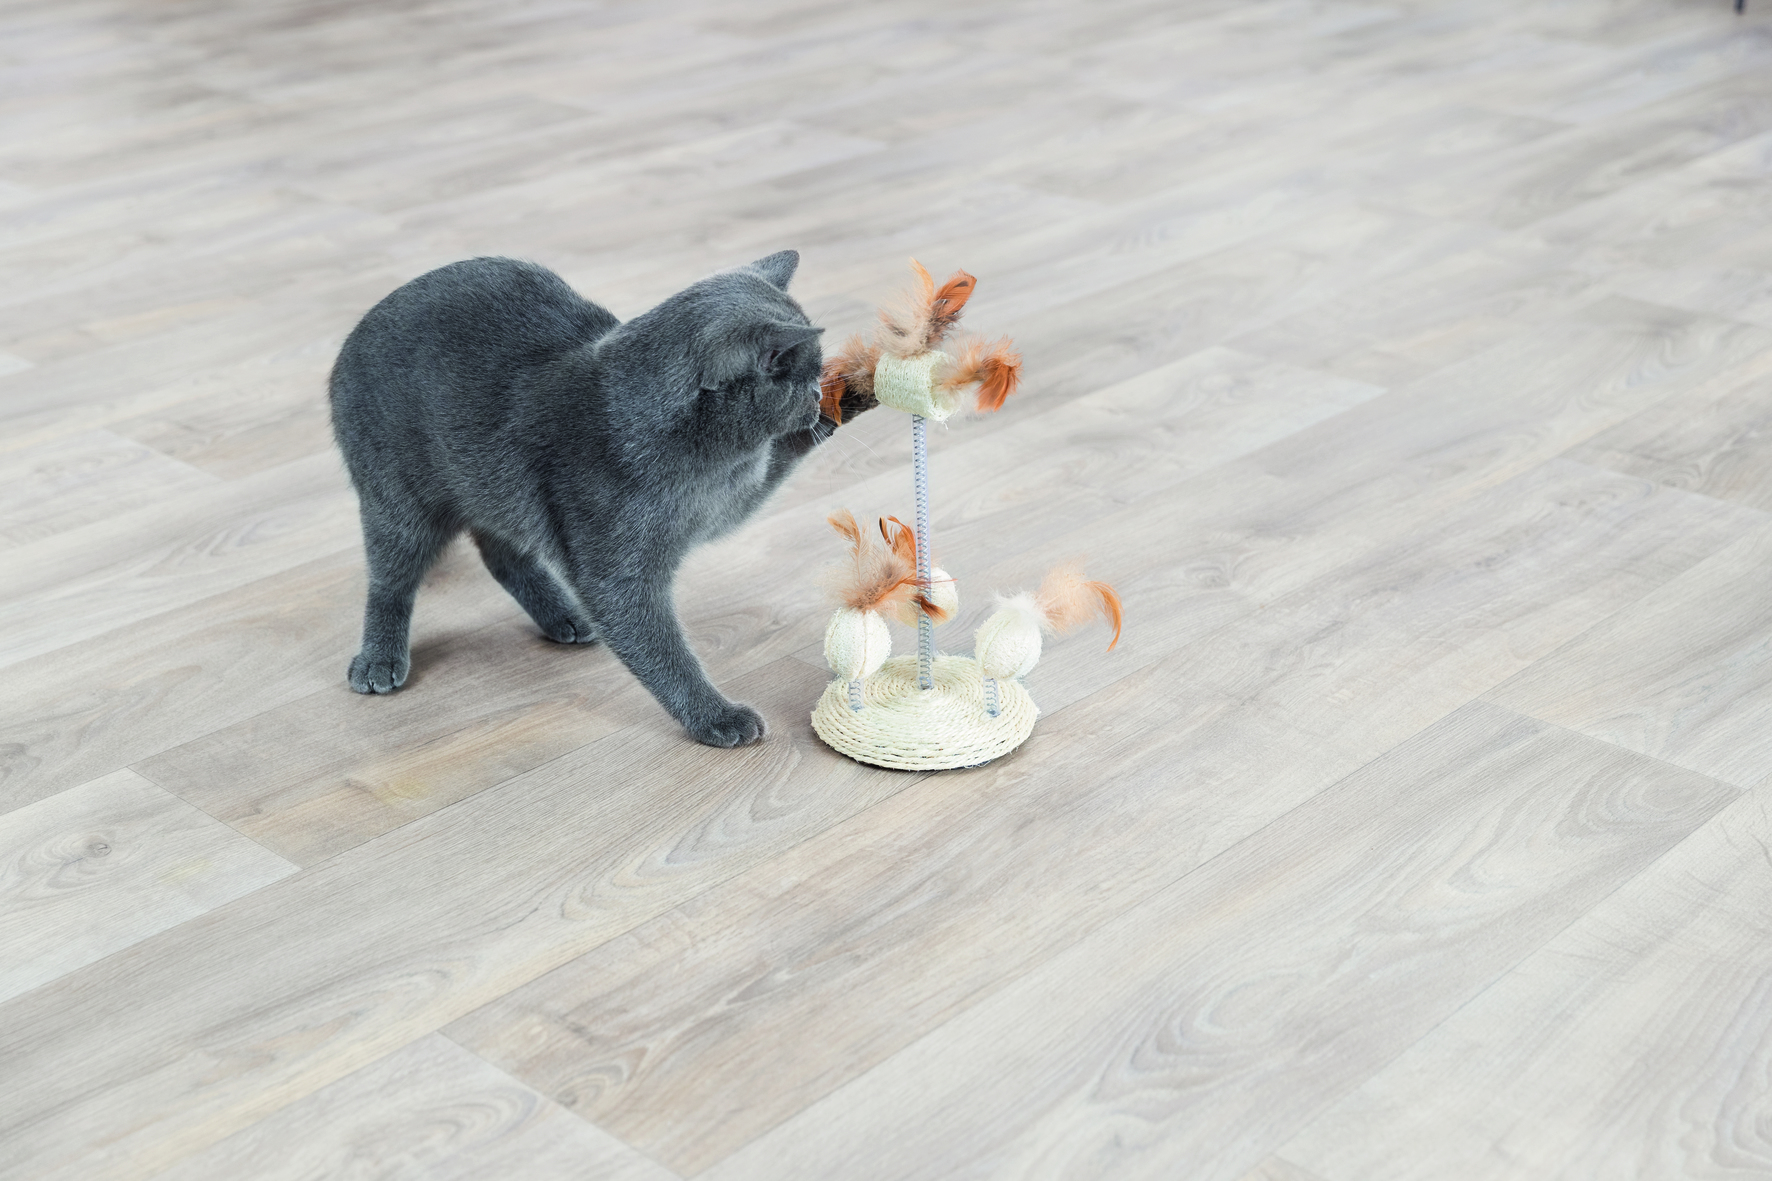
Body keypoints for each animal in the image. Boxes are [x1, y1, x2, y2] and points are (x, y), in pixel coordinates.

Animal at [328, 250, 868, 747]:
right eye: (798, 377)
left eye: (817, 375)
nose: (817, 395)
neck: (712, 466)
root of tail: (357, 330)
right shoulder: (618, 573)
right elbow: (662, 652)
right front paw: (716, 718)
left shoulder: (729, 503)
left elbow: (783, 456)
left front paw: (856, 394)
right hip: (400, 502)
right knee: (391, 580)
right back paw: (378, 660)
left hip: (495, 491)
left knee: (502, 554)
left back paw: (564, 616)